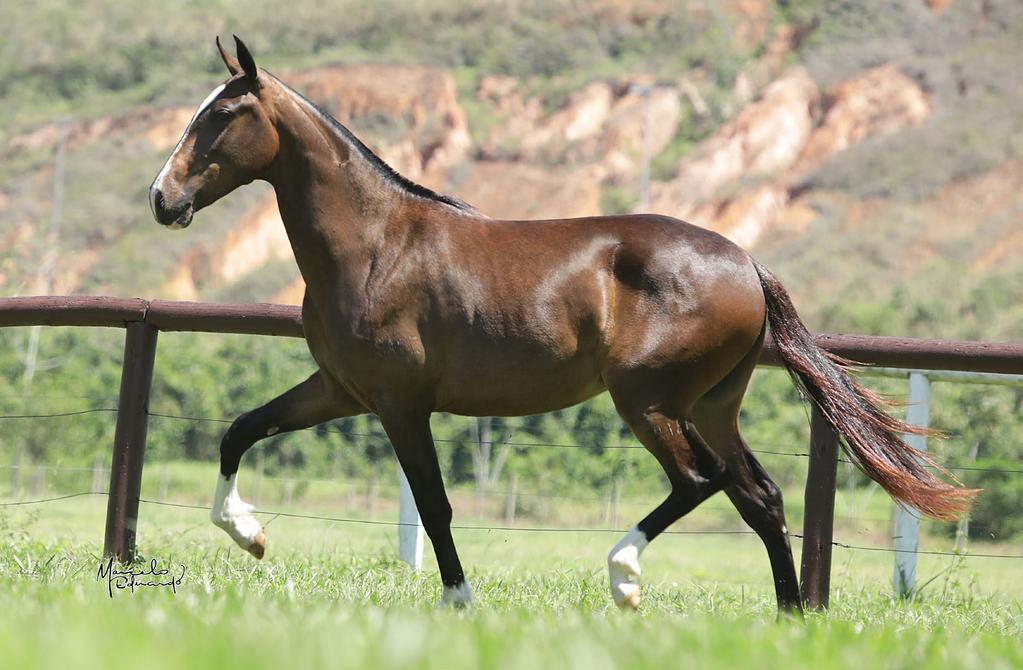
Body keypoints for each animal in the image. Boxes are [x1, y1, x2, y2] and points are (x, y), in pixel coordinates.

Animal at [146, 36, 973, 613]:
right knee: (759, 496)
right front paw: (248, 534)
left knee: (699, 481)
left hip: (646, 400)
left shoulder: (400, 404)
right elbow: (238, 431)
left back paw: (625, 578)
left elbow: (436, 506)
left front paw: (459, 600)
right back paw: (791, 617)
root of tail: (745, 263)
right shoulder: (340, 391)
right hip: (711, 404)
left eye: (222, 116)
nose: (161, 198)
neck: (376, 245)